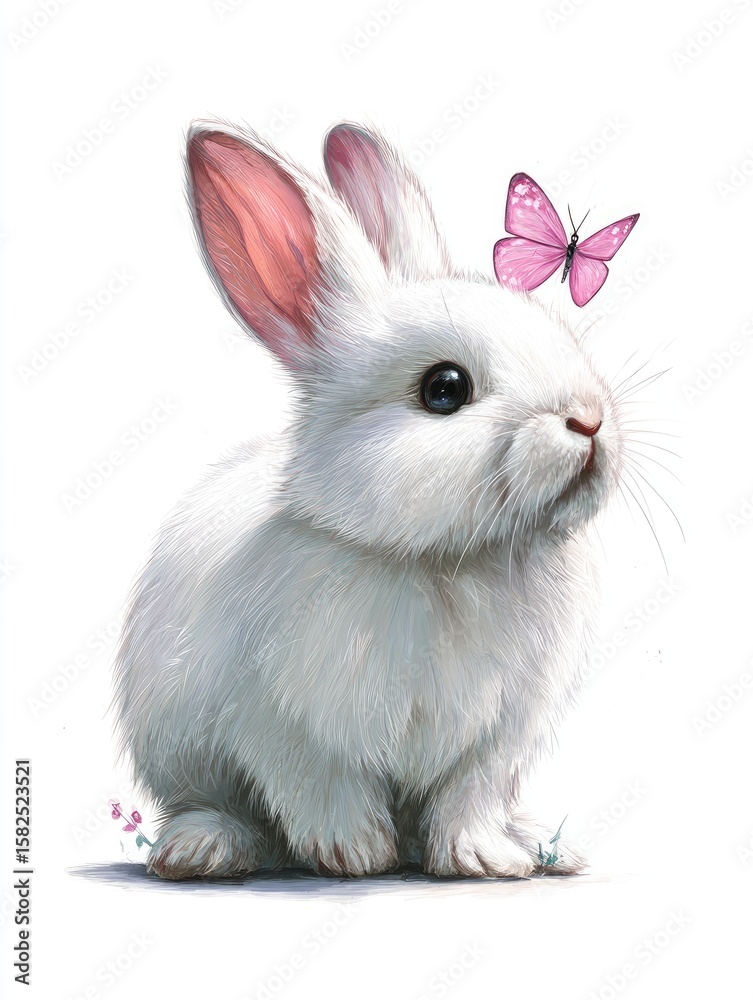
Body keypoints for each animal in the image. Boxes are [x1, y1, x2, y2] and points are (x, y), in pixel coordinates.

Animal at [113, 120, 625, 880]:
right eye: (444, 389)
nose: (588, 419)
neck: (445, 564)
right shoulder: (280, 723)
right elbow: (321, 784)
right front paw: (351, 854)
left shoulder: (498, 739)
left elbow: (469, 795)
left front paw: (484, 859)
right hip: (181, 752)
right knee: (212, 804)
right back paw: (203, 849)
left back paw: (541, 844)